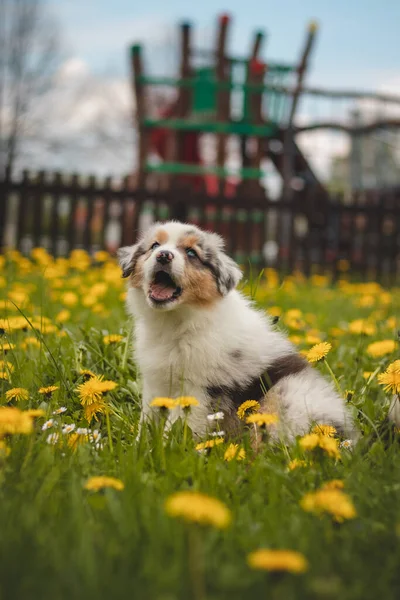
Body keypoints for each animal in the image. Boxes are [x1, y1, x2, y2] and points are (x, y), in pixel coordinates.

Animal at [119, 220, 356, 440]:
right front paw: (141, 444)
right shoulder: (155, 383)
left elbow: (178, 425)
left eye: (191, 253)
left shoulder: (198, 388)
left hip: (285, 400)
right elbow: (149, 418)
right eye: (154, 246)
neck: (176, 322)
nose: (163, 256)